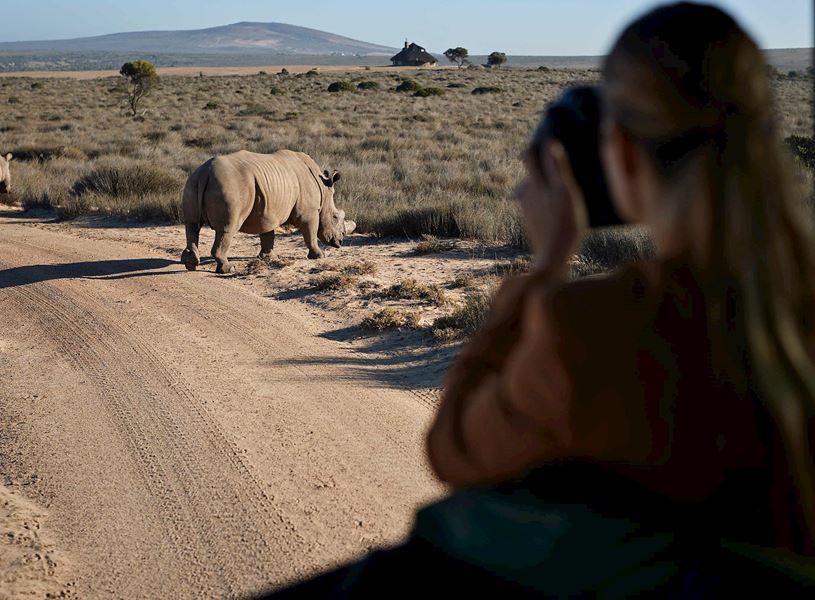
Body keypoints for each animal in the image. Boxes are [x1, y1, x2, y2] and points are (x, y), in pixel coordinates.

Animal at [181, 149, 356, 273]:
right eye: (335, 217)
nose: (340, 242)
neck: (324, 191)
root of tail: (206, 172)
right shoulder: (309, 213)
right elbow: (310, 234)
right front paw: (319, 255)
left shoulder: (267, 211)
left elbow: (267, 234)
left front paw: (268, 257)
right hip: (228, 187)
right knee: (227, 229)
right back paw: (228, 269)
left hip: (193, 181)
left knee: (191, 225)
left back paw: (190, 264)